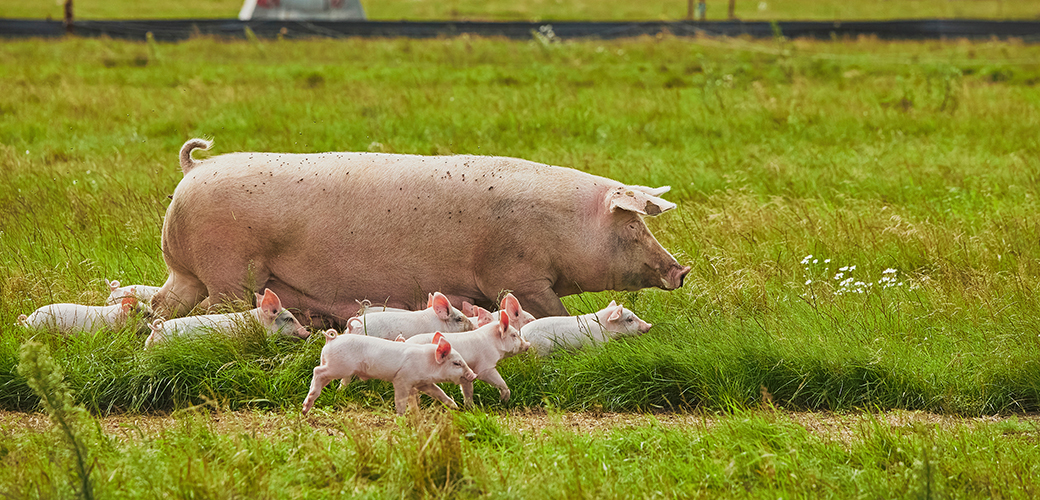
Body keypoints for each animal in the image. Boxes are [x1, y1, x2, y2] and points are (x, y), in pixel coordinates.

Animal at [151, 137, 690, 324]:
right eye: (633, 225)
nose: (681, 270)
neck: (564, 226)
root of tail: (193, 170)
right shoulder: (516, 275)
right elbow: (549, 310)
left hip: (186, 273)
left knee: (163, 305)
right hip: (228, 270)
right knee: (213, 309)